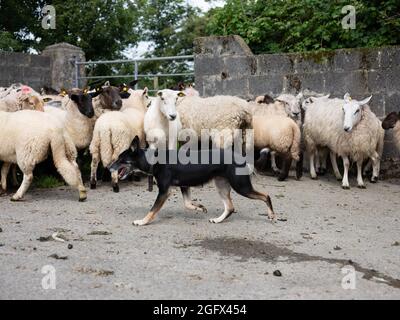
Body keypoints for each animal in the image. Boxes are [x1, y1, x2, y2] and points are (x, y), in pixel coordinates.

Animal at [110, 136, 278, 226]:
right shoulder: (184, 186)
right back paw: (218, 220)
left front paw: (142, 221)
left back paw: (271, 215)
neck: (154, 159)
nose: (109, 167)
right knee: (230, 207)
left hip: (241, 186)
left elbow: (152, 210)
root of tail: (241, 158)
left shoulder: (164, 191)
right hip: (222, 186)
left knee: (266, 196)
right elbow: (187, 203)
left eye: (121, 159)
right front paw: (200, 207)